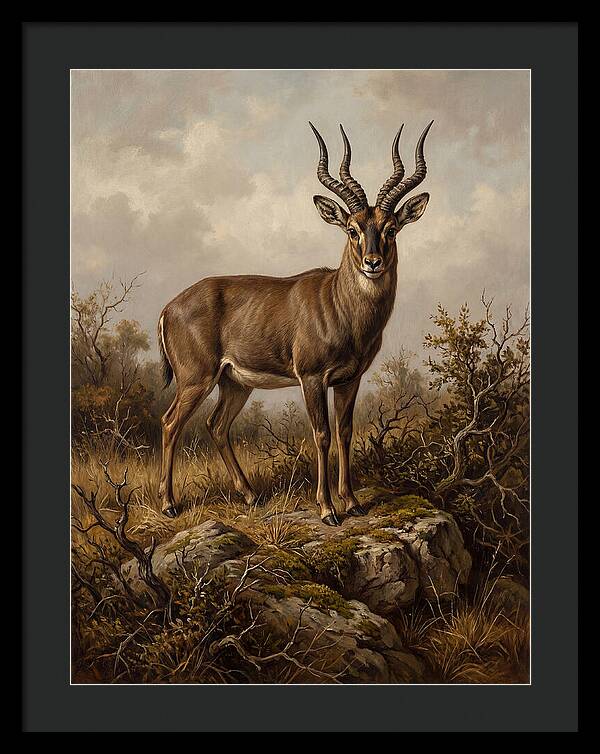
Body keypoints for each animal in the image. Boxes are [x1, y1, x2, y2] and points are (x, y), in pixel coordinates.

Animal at [157, 121, 433, 525]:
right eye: (352, 228)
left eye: (391, 228)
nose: (372, 262)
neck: (339, 305)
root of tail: (168, 307)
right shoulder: (312, 377)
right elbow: (321, 434)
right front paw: (327, 509)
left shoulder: (350, 379)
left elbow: (345, 431)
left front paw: (353, 502)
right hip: (196, 379)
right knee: (170, 422)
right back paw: (169, 504)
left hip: (235, 383)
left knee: (216, 425)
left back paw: (251, 496)